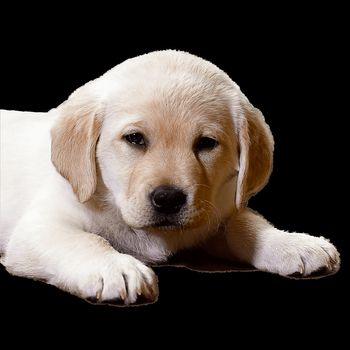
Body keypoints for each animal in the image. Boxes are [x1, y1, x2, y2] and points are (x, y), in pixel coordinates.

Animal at [0, 50, 340, 304]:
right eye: (134, 139)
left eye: (206, 143)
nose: (168, 198)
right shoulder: (40, 227)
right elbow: (85, 239)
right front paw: (115, 268)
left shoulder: (216, 208)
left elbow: (245, 223)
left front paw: (292, 243)